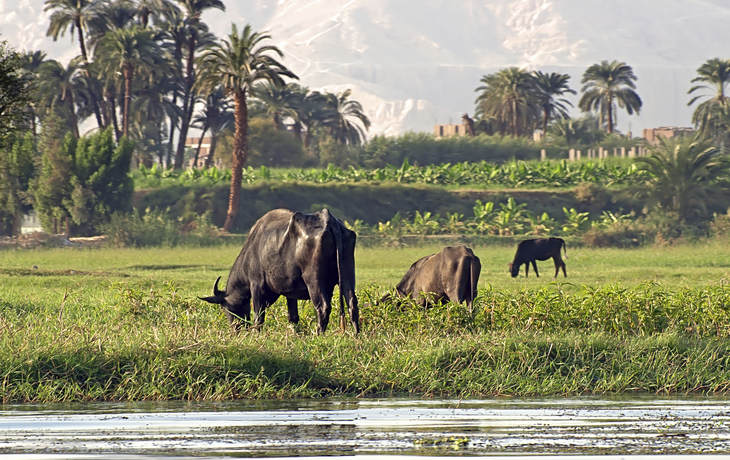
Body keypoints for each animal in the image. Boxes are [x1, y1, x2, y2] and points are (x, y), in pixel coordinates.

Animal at [199, 208, 359, 334]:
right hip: (347, 275)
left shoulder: (256, 284)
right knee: (352, 303)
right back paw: (356, 334)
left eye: (224, 306)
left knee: (323, 306)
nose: (235, 329)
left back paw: (319, 334)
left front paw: (256, 333)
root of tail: (330, 221)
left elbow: (258, 315)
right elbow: (293, 316)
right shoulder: (291, 292)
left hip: (314, 280)